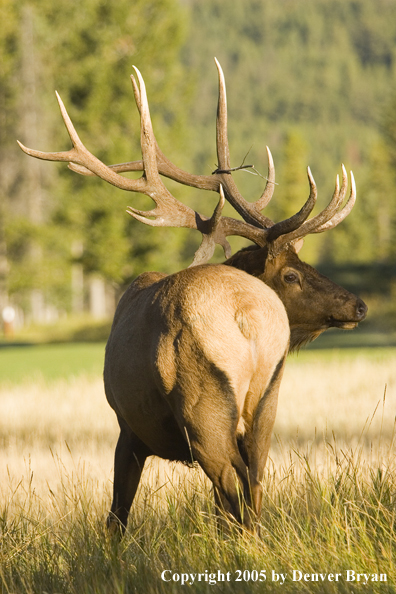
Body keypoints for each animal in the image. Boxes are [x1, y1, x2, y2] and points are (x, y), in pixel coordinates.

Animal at [17, 60, 366, 532]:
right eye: (293, 273)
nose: (358, 305)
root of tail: (246, 316)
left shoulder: (128, 427)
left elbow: (117, 517)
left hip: (204, 410)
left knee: (233, 492)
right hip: (267, 403)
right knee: (253, 489)